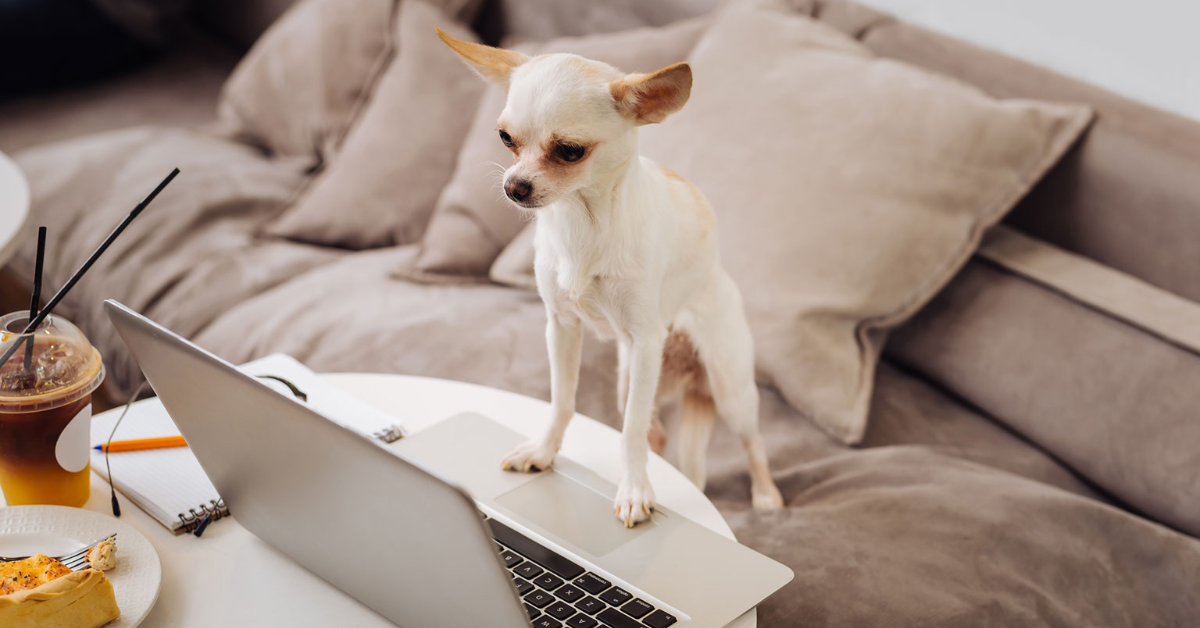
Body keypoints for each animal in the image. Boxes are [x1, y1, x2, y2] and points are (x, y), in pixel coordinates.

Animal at [436, 31, 782, 528]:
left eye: (570, 151)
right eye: (505, 139)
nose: (514, 187)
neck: (582, 220)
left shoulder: (645, 342)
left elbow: (630, 431)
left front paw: (635, 489)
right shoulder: (562, 327)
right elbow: (563, 401)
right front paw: (544, 452)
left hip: (728, 388)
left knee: (752, 442)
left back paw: (767, 495)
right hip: (631, 380)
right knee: (657, 434)